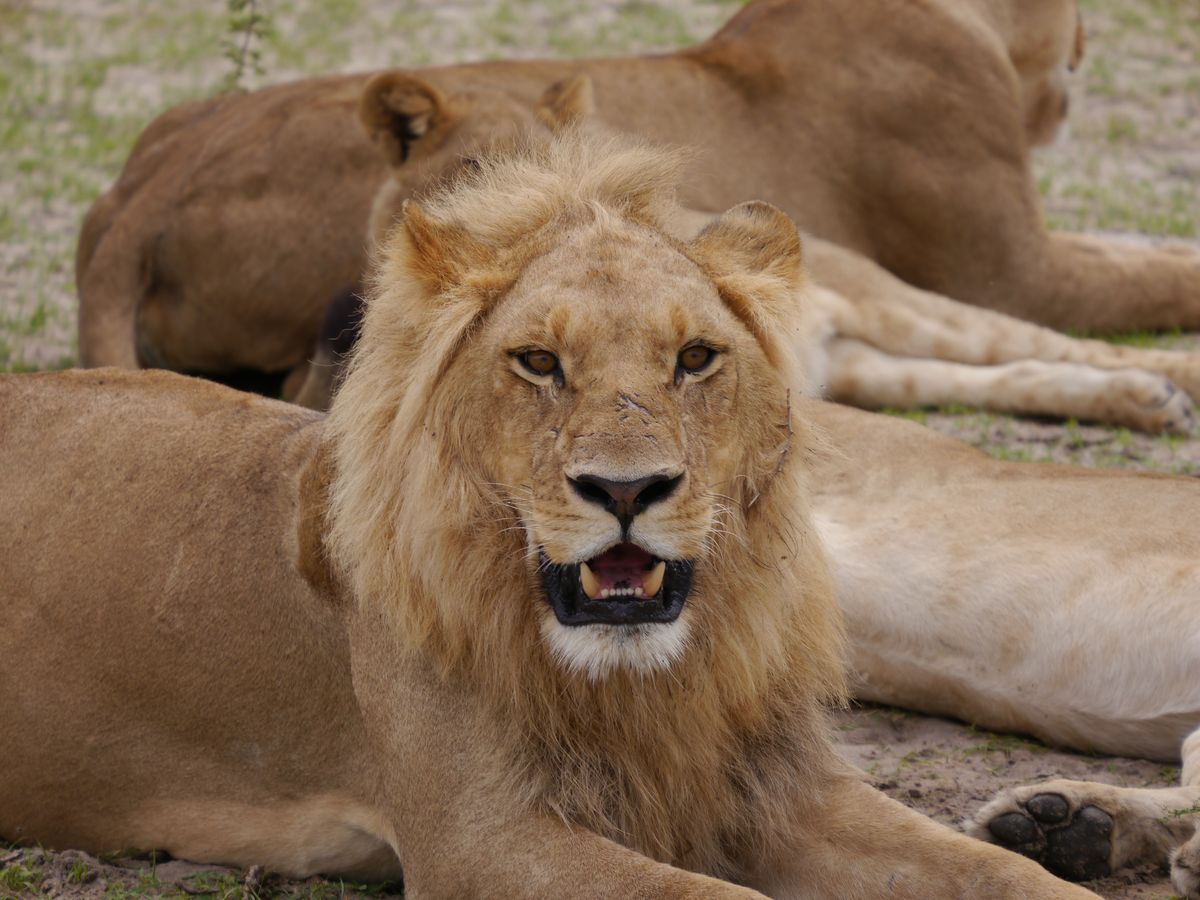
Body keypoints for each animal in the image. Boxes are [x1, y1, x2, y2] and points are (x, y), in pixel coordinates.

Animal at [4, 131, 1100, 898]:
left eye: (694, 357)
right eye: (538, 361)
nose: (626, 491)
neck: (645, 683)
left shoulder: (784, 789)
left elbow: (1002, 871)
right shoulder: (481, 843)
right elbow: (711, 897)